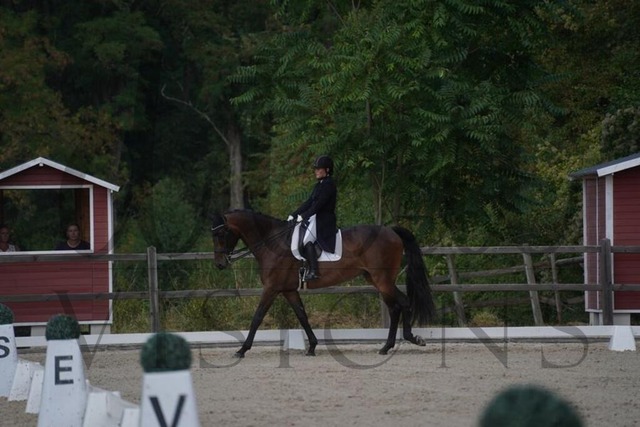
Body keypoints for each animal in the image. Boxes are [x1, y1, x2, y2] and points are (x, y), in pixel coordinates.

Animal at [210, 209, 435, 358]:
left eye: (221, 234)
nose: (220, 264)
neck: (272, 243)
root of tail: (392, 231)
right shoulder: (288, 290)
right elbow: (302, 315)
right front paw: (312, 346)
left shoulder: (272, 289)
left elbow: (257, 317)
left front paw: (242, 349)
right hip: (376, 280)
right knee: (395, 307)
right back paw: (387, 347)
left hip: (383, 279)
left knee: (402, 303)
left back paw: (411, 339)